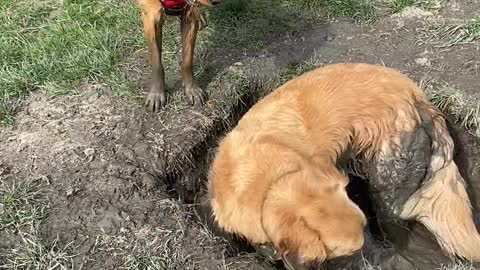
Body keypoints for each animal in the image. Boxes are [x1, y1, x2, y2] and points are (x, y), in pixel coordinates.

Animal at [208, 62, 480, 268]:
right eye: (345, 254)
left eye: (363, 236)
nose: (375, 261)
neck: (270, 181)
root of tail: (417, 96)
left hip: (387, 193)